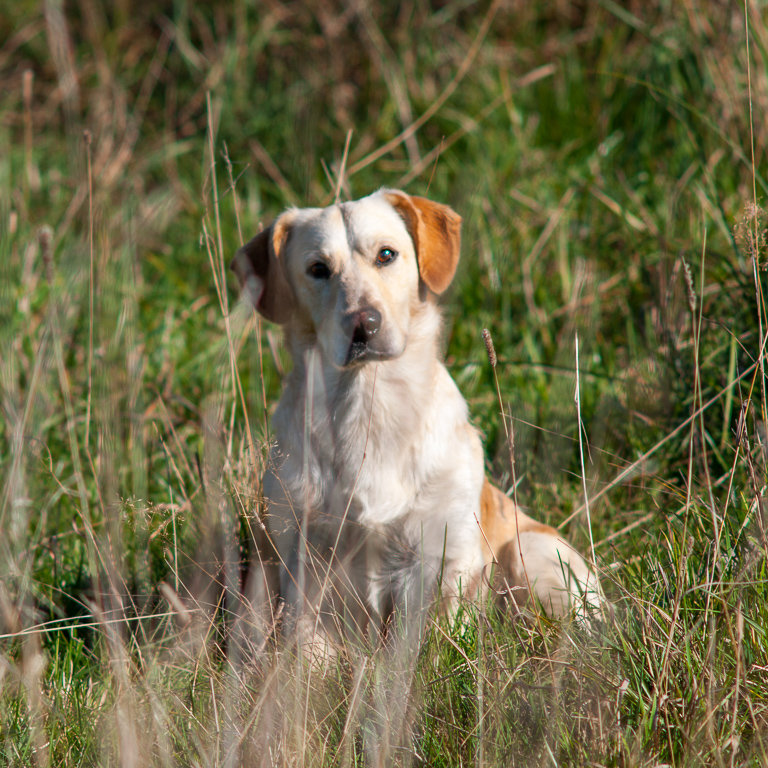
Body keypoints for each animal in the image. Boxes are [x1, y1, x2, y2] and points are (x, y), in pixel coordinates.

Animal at [231, 189, 604, 652]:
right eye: (318, 269)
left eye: (386, 254)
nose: (364, 324)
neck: (370, 408)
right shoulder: (304, 564)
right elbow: (309, 648)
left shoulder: (441, 556)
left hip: (532, 553)